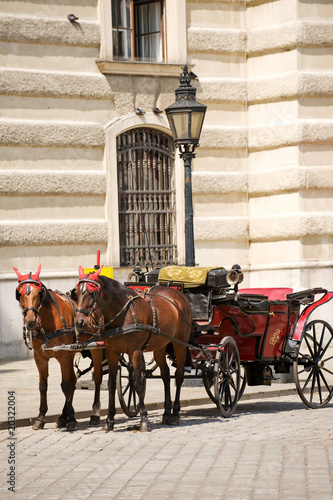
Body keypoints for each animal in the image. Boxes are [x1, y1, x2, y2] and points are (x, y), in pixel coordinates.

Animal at [13, 266, 104, 430]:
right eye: (20, 294)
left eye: (38, 294)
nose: (30, 321)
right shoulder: (40, 358)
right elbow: (43, 386)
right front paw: (41, 417)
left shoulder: (63, 355)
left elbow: (66, 385)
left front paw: (72, 420)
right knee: (74, 380)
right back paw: (62, 416)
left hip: (96, 349)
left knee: (97, 379)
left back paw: (94, 413)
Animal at [72, 268, 192, 432]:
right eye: (77, 293)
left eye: (91, 293)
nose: (79, 322)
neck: (121, 315)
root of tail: (178, 294)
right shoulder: (112, 353)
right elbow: (111, 385)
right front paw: (109, 420)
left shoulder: (135, 352)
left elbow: (138, 382)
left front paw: (144, 419)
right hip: (160, 346)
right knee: (166, 375)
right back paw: (167, 413)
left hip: (180, 344)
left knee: (179, 376)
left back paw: (175, 413)